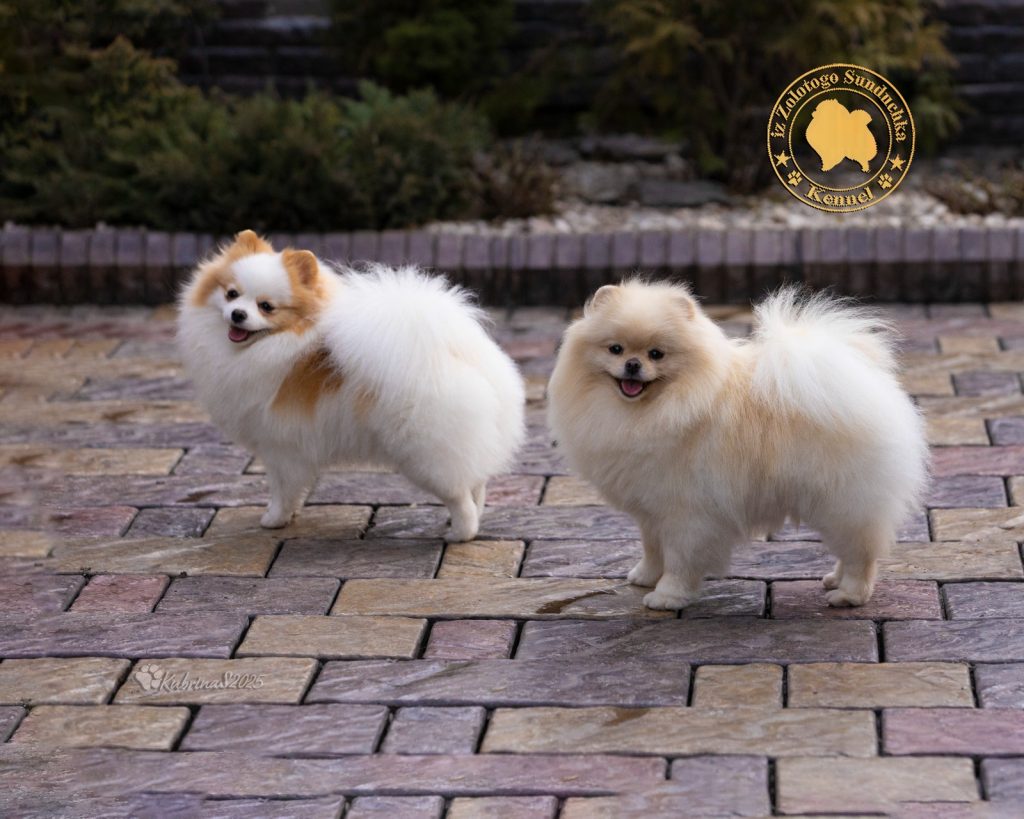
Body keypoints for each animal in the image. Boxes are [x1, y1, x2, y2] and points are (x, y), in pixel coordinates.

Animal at [178, 230, 525, 540]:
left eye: (266, 306)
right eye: (231, 294)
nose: (237, 314)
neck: (275, 342)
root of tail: (457, 354)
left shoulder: (280, 447)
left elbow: (282, 489)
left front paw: (274, 520)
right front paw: (292, 514)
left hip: (426, 453)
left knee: (459, 494)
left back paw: (460, 533)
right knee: (476, 482)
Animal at [547, 280, 927, 609]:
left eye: (657, 354)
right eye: (615, 348)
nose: (632, 364)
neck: (653, 410)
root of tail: (866, 380)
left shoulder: (686, 512)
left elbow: (679, 559)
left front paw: (667, 596)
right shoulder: (651, 508)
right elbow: (653, 547)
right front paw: (645, 575)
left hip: (842, 499)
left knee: (861, 552)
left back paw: (849, 595)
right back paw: (834, 579)